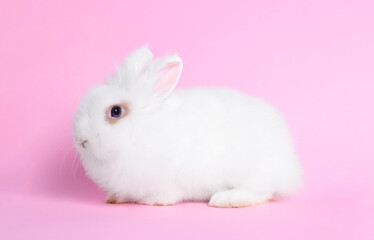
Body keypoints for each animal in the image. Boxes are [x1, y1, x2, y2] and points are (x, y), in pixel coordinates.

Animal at [74, 46, 304, 207]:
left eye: (116, 111)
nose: (80, 139)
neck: (140, 131)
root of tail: (289, 164)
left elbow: (164, 194)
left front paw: (153, 201)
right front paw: (114, 198)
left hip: (251, 172)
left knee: (260, 192)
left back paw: (224, 200)